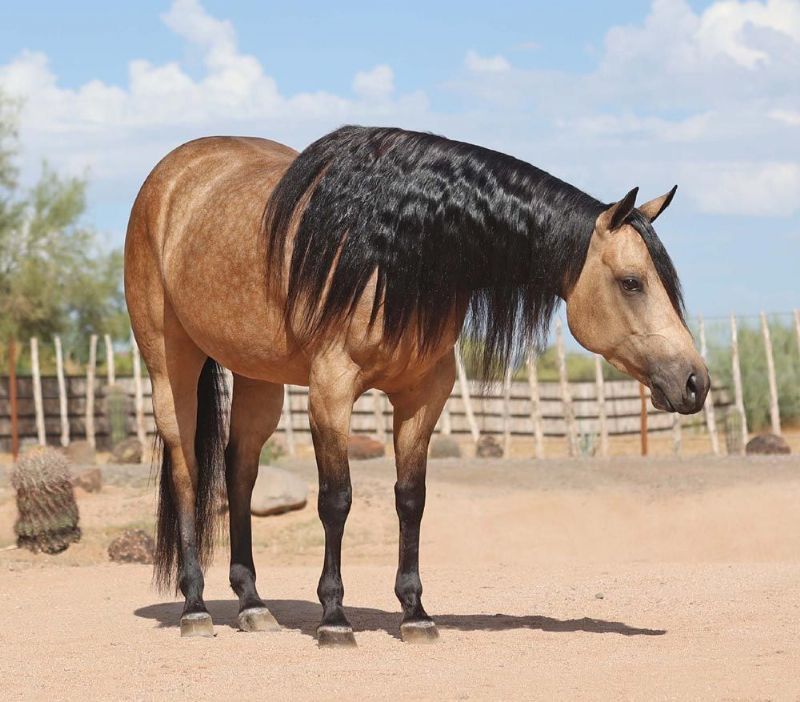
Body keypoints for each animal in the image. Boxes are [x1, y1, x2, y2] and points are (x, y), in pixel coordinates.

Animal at [124, 125, 709, 646]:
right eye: (631, 282)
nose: (695, 382)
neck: (395, 251)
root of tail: (169, 177)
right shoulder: (331, 391)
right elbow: (336, 500)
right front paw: (334, 618)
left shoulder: (423, 397)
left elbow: (411, 499)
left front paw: (415, 613)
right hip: (170, 365)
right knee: (186, 471)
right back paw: (195, 607)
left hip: (258, 376)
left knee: (240, 471)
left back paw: (251, 604)